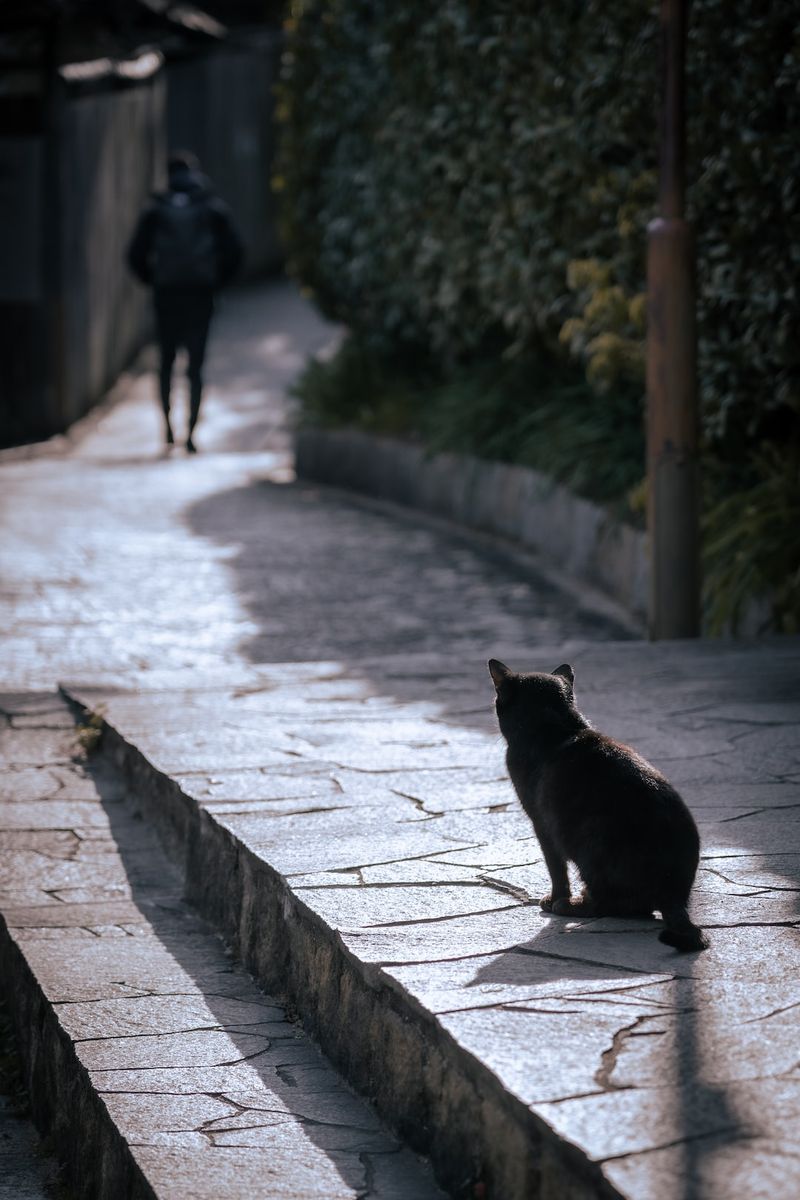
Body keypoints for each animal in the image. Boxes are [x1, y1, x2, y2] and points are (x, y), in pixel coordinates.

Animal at [489, 662, 705, 950]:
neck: (556, 730)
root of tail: (674, 893)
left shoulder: (542, 824)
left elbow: (555, 868)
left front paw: (554, 898)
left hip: (589, 840)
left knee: (617, 904)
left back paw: (571, 905)